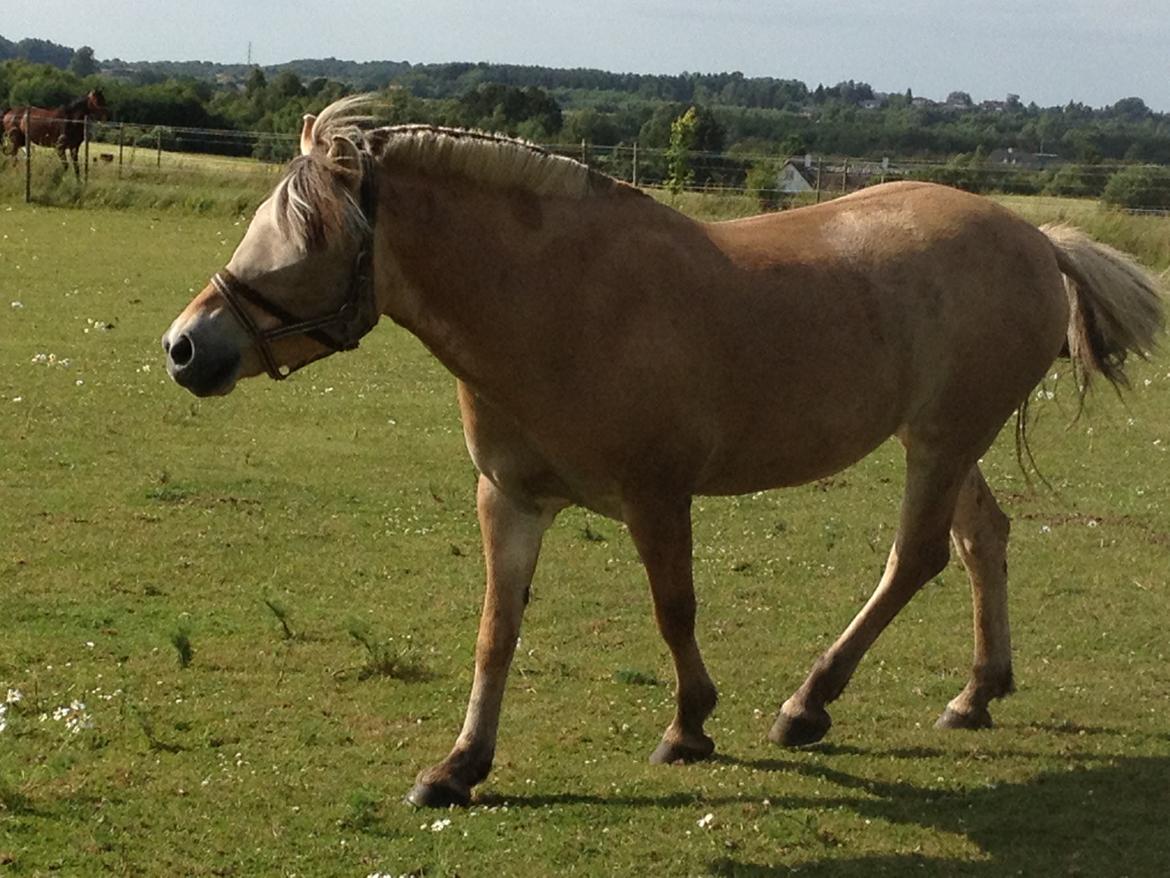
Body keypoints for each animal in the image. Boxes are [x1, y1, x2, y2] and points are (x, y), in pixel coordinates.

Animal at [162, 99, 1160, 810]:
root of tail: (1035, 238)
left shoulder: (657, 498)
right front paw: (458, 767)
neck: (559, 303)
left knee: (914, 558)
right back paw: (975, 694)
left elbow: (673, 611)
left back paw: (808, 705)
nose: (185, 348)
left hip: (944, 439)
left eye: (313, 238)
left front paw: (689, 728)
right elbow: (496, 631)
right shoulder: (509, 499)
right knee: (982, 539)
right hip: (946, 440)